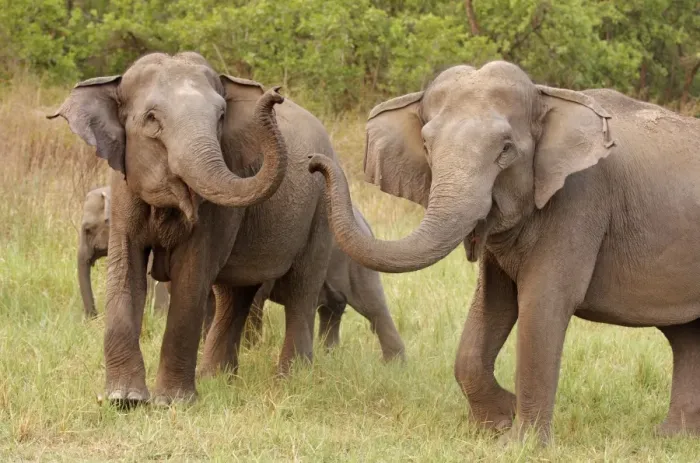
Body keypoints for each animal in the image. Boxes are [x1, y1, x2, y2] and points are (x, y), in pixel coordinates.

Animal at [244, 206, 405, 361]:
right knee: (332, 312)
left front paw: (252, 352)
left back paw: (393, 364)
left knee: (375, 309)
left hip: (357, 268)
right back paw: (329, 357)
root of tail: (363, 222)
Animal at [308, 60, 700, 443]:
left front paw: (521, 443)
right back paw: (671, 438)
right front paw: (495, 424)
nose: (313, 161)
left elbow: (542, 303)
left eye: (506, 149)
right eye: (427, 146)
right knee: (685, 336)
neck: (547, 96)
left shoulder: (580, 200)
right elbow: (492, 303)